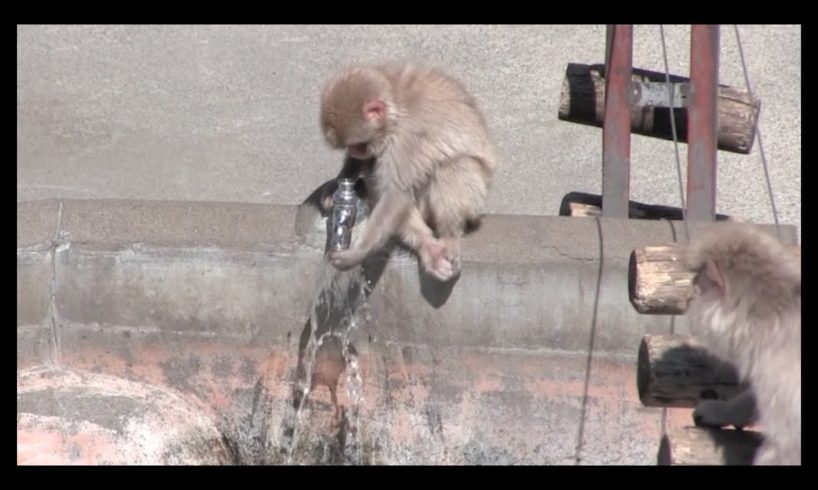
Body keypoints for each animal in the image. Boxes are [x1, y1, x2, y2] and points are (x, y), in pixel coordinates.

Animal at [318, 59, 498, 282]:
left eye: (358, 145)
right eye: (352, 147)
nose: (354, 151)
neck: (394, 104)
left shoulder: (405, 136)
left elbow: (396, 193)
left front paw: (359, 252)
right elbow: (377, 174)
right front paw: (337, 185)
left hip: (474, 199)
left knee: (452, 166)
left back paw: (449, 236)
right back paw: (428, 248)